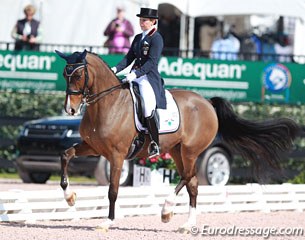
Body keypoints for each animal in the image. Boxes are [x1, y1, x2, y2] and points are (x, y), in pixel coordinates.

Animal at [55, 50, 300, 232]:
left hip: (191, 151)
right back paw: (187, 224)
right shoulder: (93, 147)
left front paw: (107, 222)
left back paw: (167, 210)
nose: (70, 109)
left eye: (78, 75)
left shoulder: (117, 155)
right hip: (176, 151)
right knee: (192, 183)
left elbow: (113, 190)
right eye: (65, 75)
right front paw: (70, 198)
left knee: (188, 176)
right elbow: (65, 155)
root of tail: (207, 103)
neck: (108, 104)